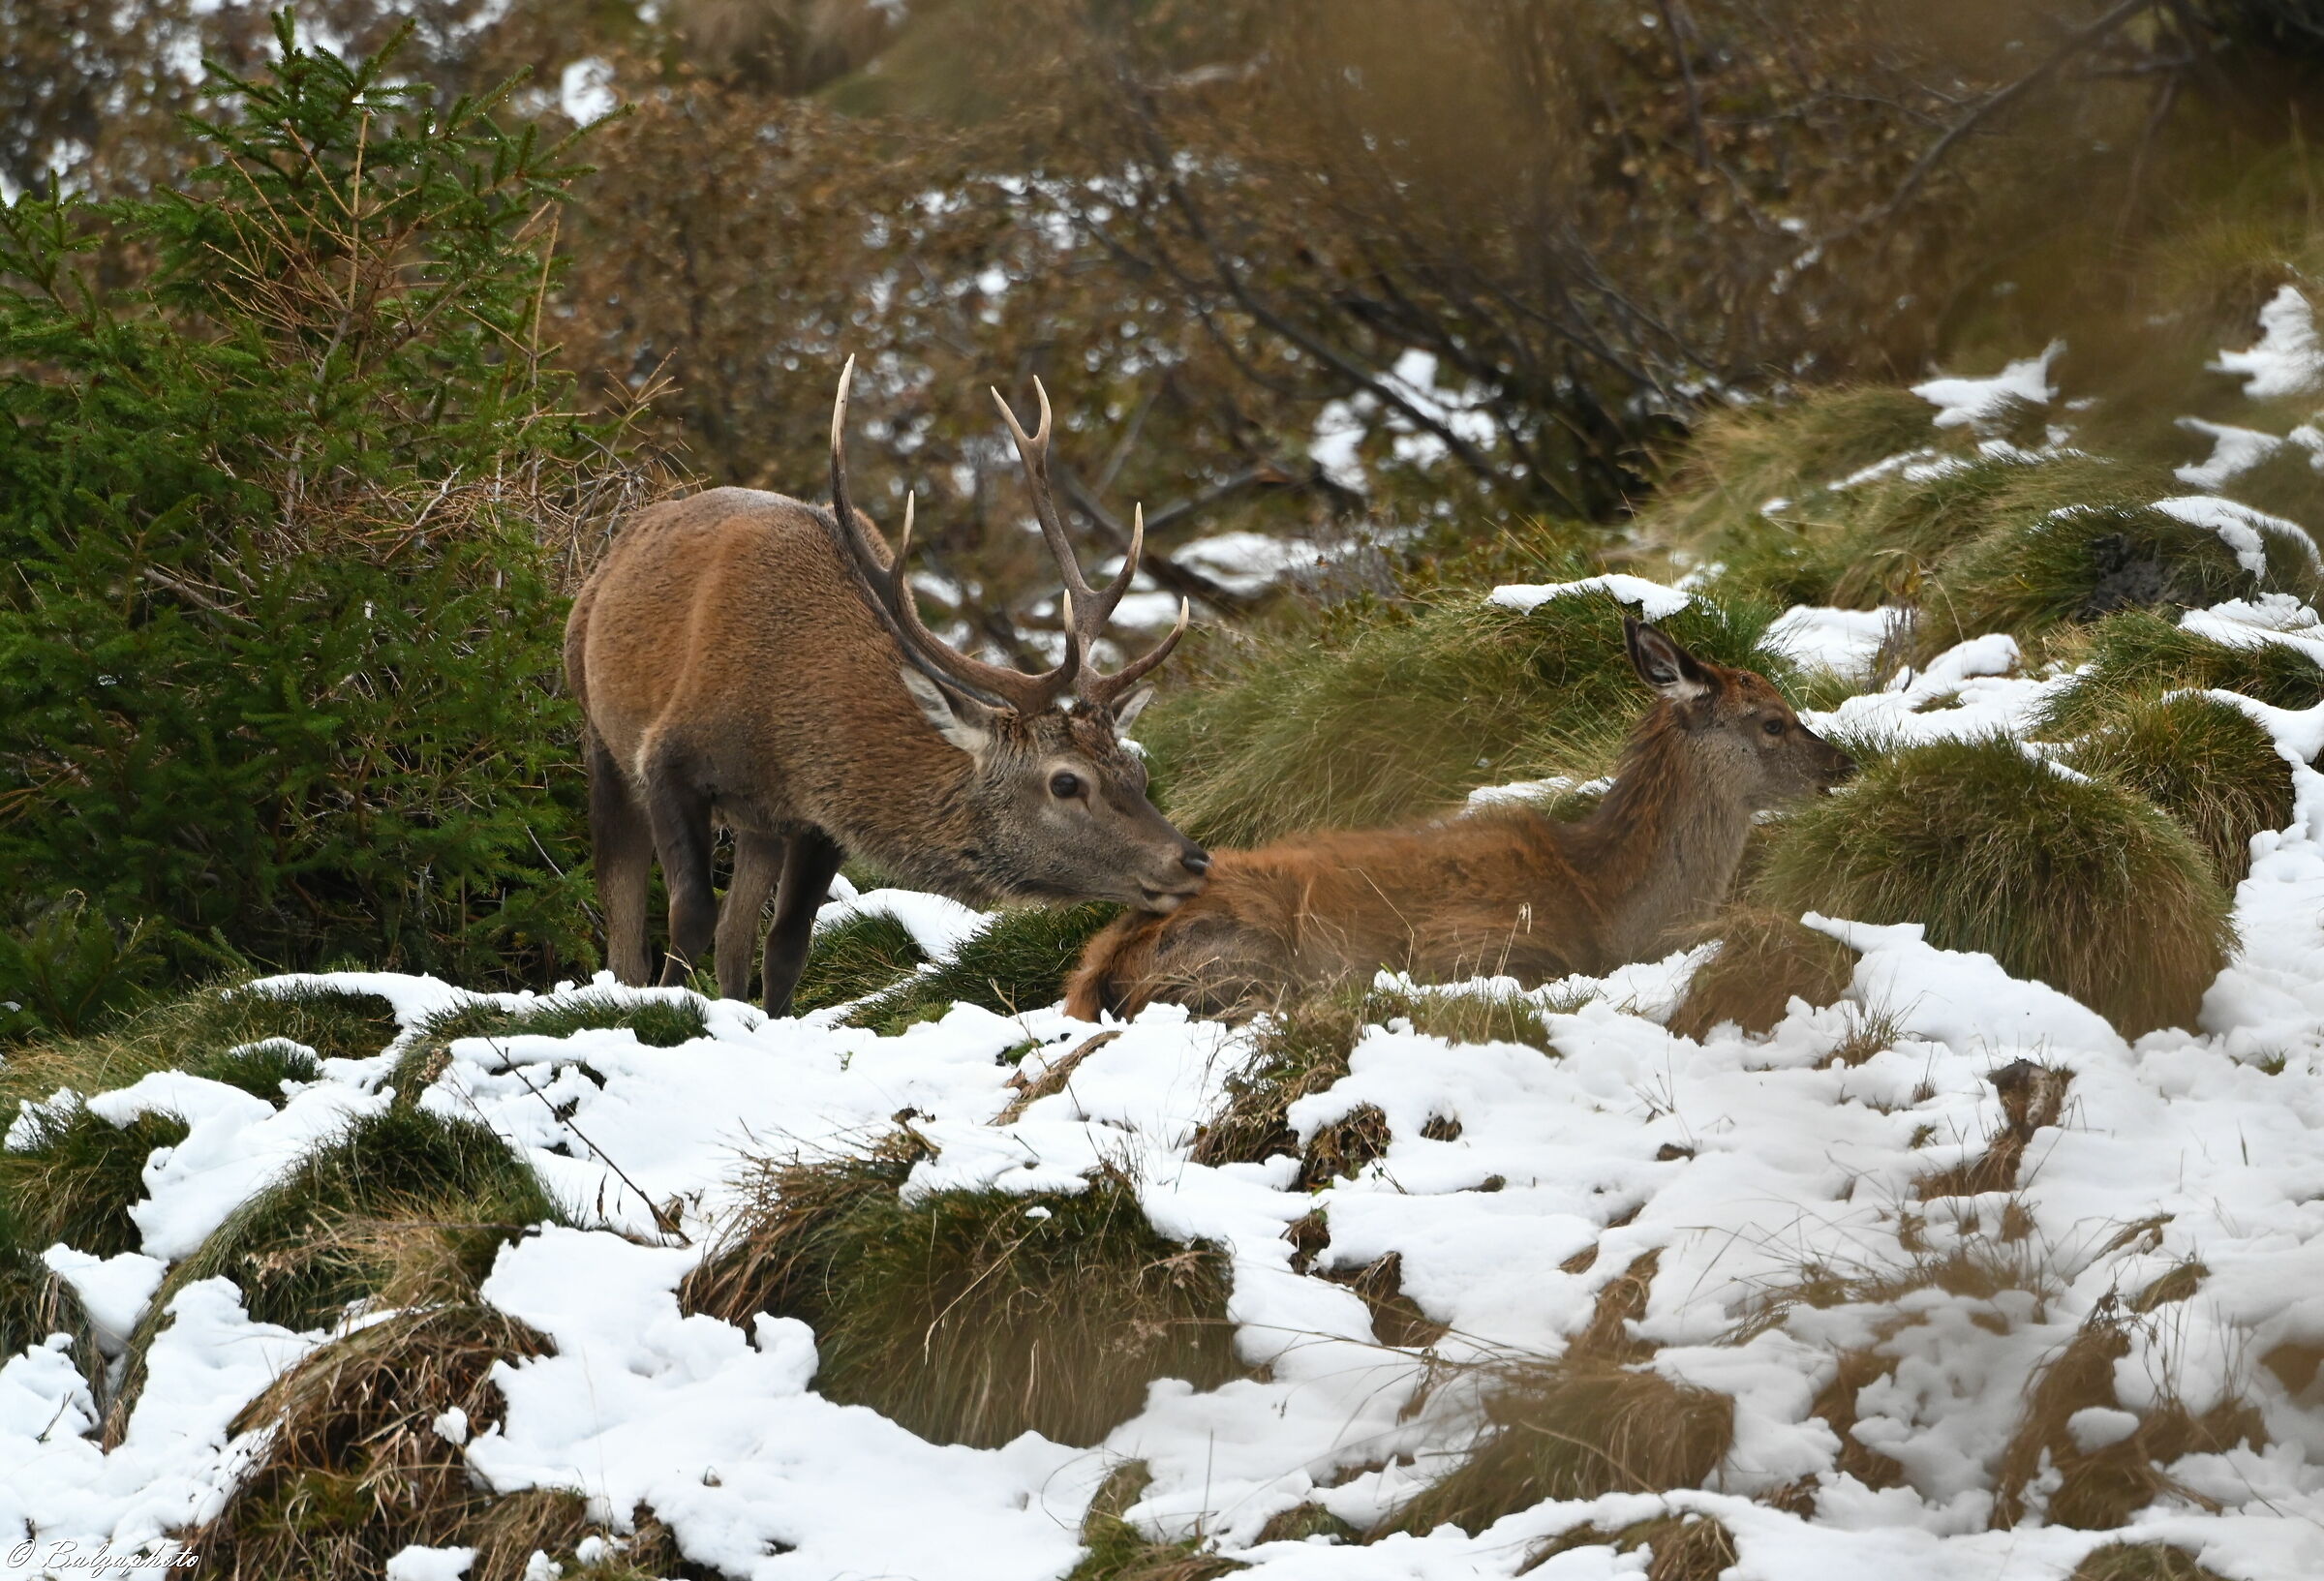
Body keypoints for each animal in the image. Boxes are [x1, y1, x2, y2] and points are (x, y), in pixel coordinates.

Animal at [566, 361, 1211, 1016]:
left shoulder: (818, 818)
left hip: (759, 823)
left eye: (1137, 771)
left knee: (735, 933)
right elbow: (689, 915)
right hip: (597, 724)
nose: (1193, 860)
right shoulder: (666, 759)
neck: (786, 720)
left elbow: (787, 944)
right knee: (624, 910)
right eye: (1066, 782)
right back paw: (631, 985)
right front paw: (671, 1007)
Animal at [1064, 619, 1854, 1021]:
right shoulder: (1482, 945)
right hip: (1246, 949)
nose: (1844, 763)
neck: (1609, 903)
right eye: (1773, 720)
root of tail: (1100, 972)